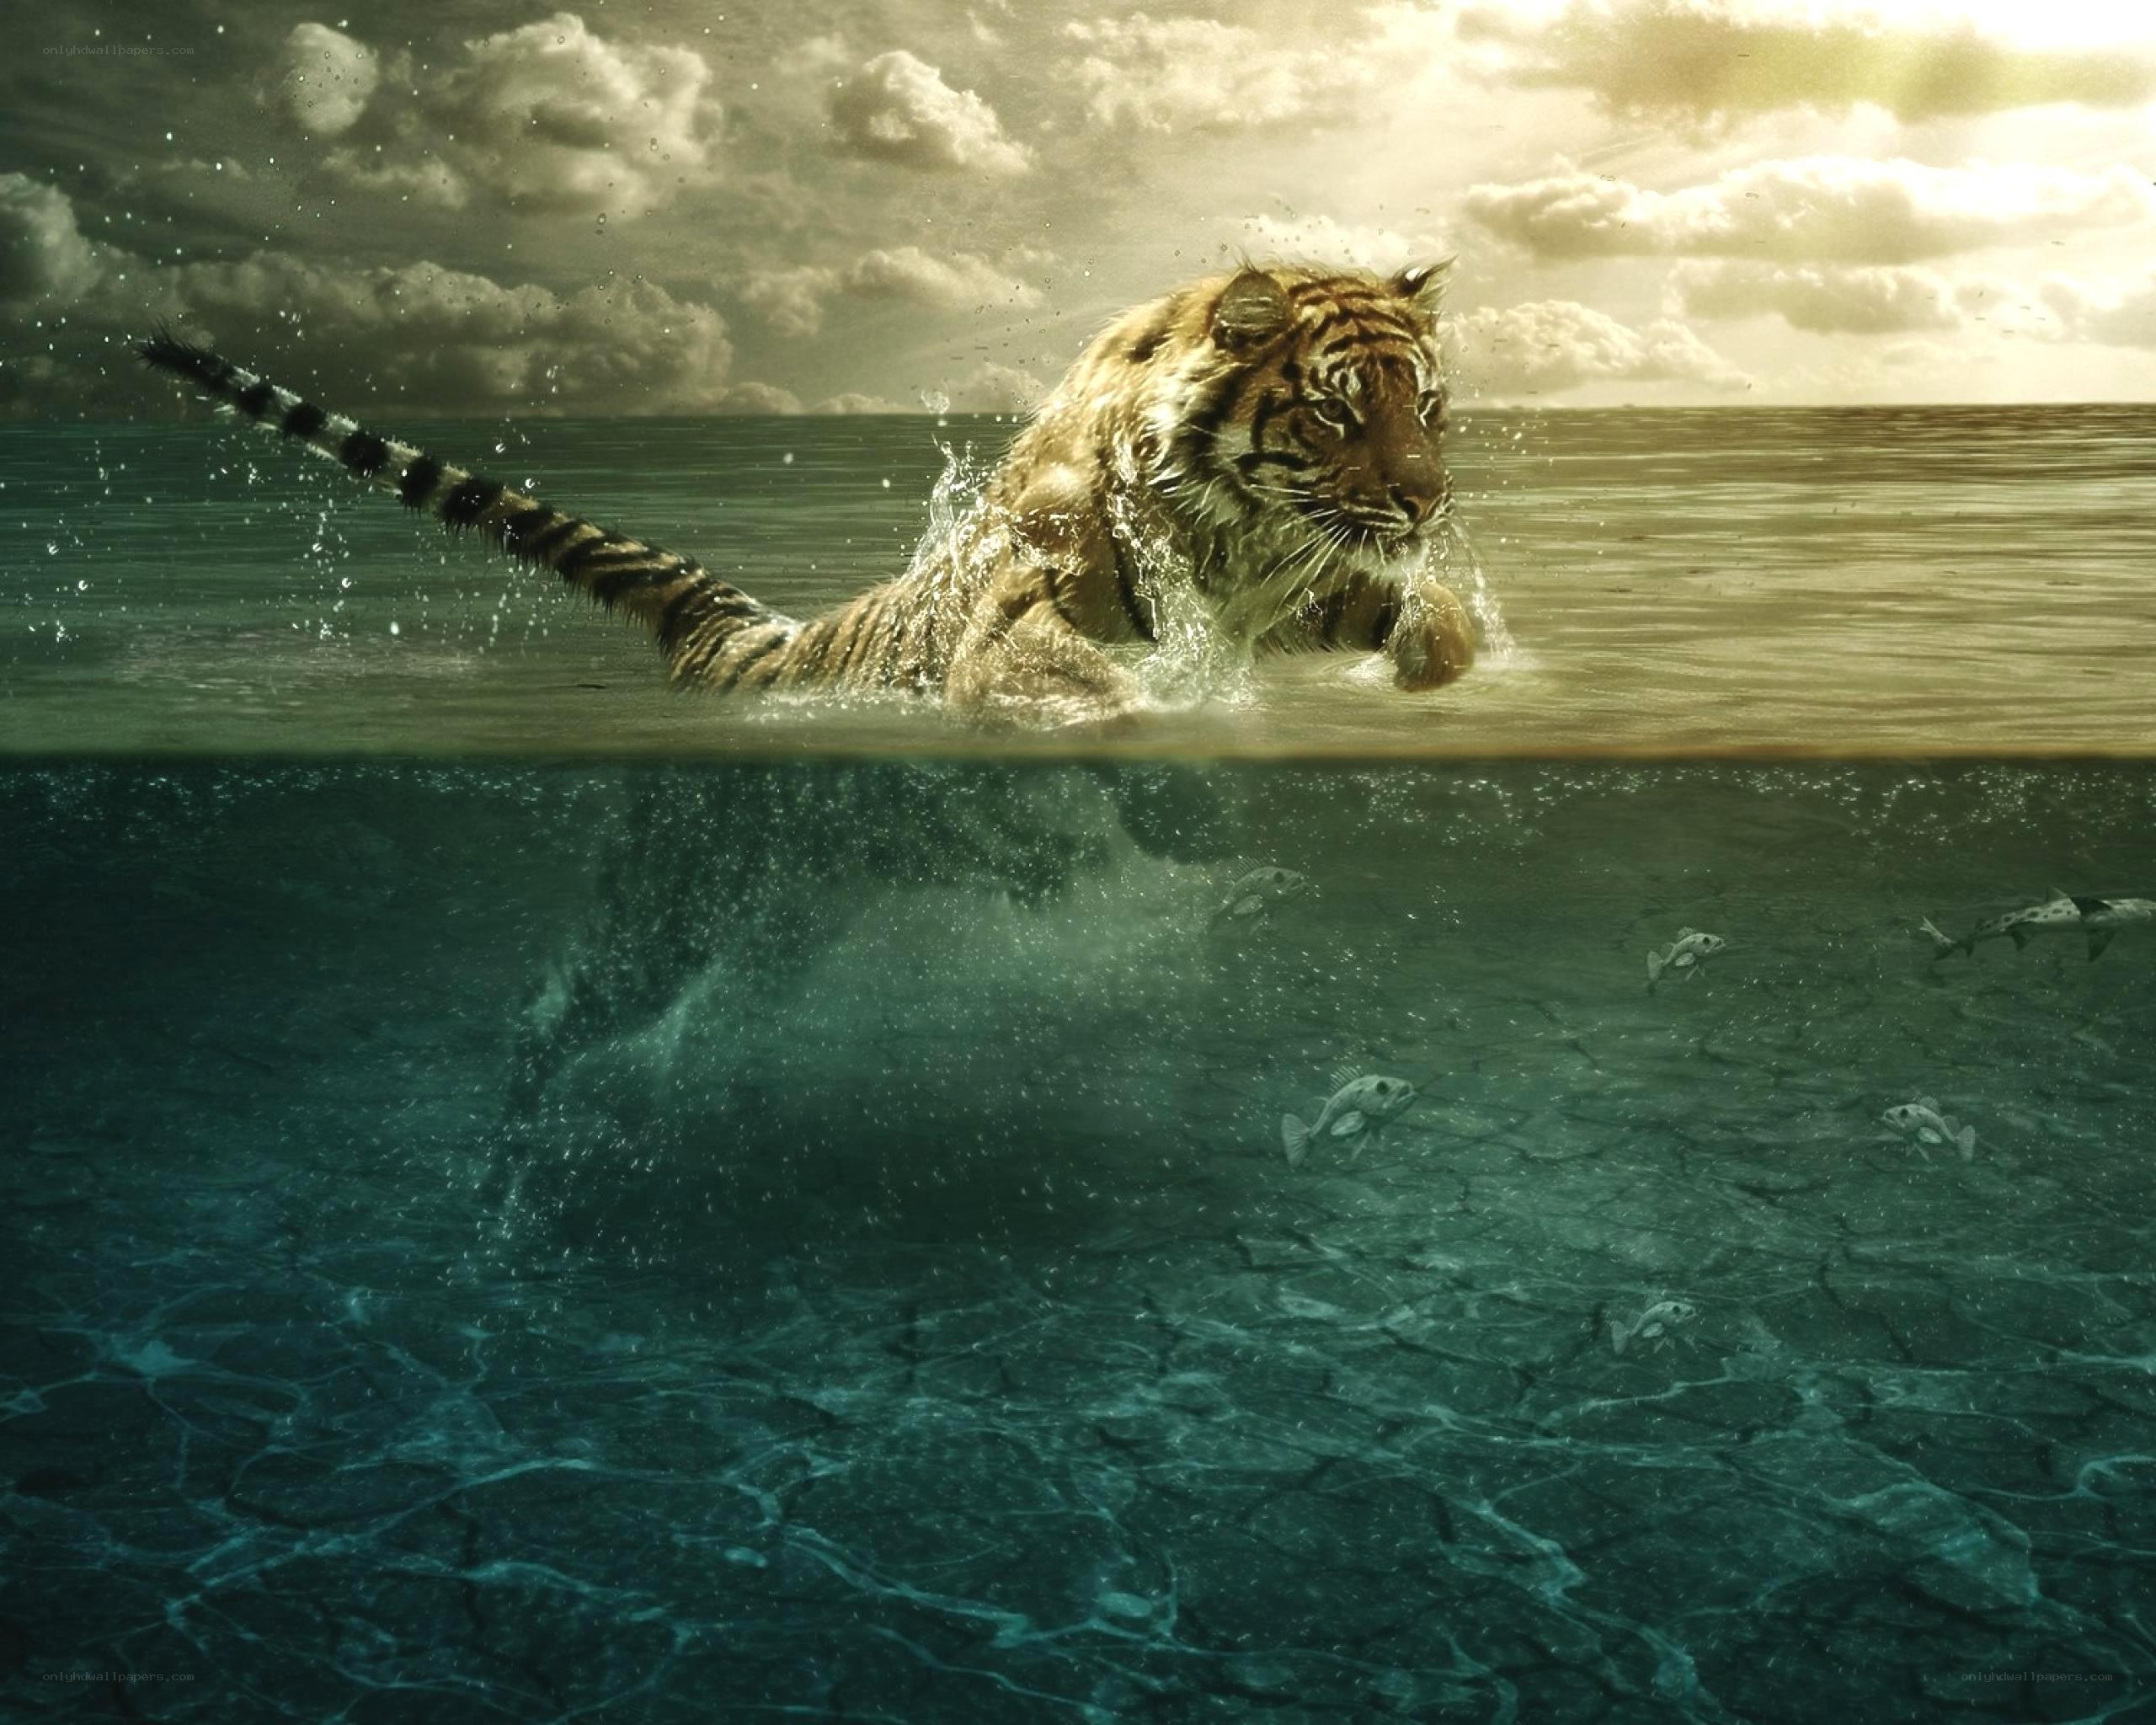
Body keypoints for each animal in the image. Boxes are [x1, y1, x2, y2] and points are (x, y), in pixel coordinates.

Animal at [138, 261, 1475, 724]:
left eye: (1427, 407)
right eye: (1335, 411)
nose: (1426, 503)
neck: (1241, 542)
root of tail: (746, 636)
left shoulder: (1315, 584)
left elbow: (1438, 626)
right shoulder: (1022, 615)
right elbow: (1087, 687)